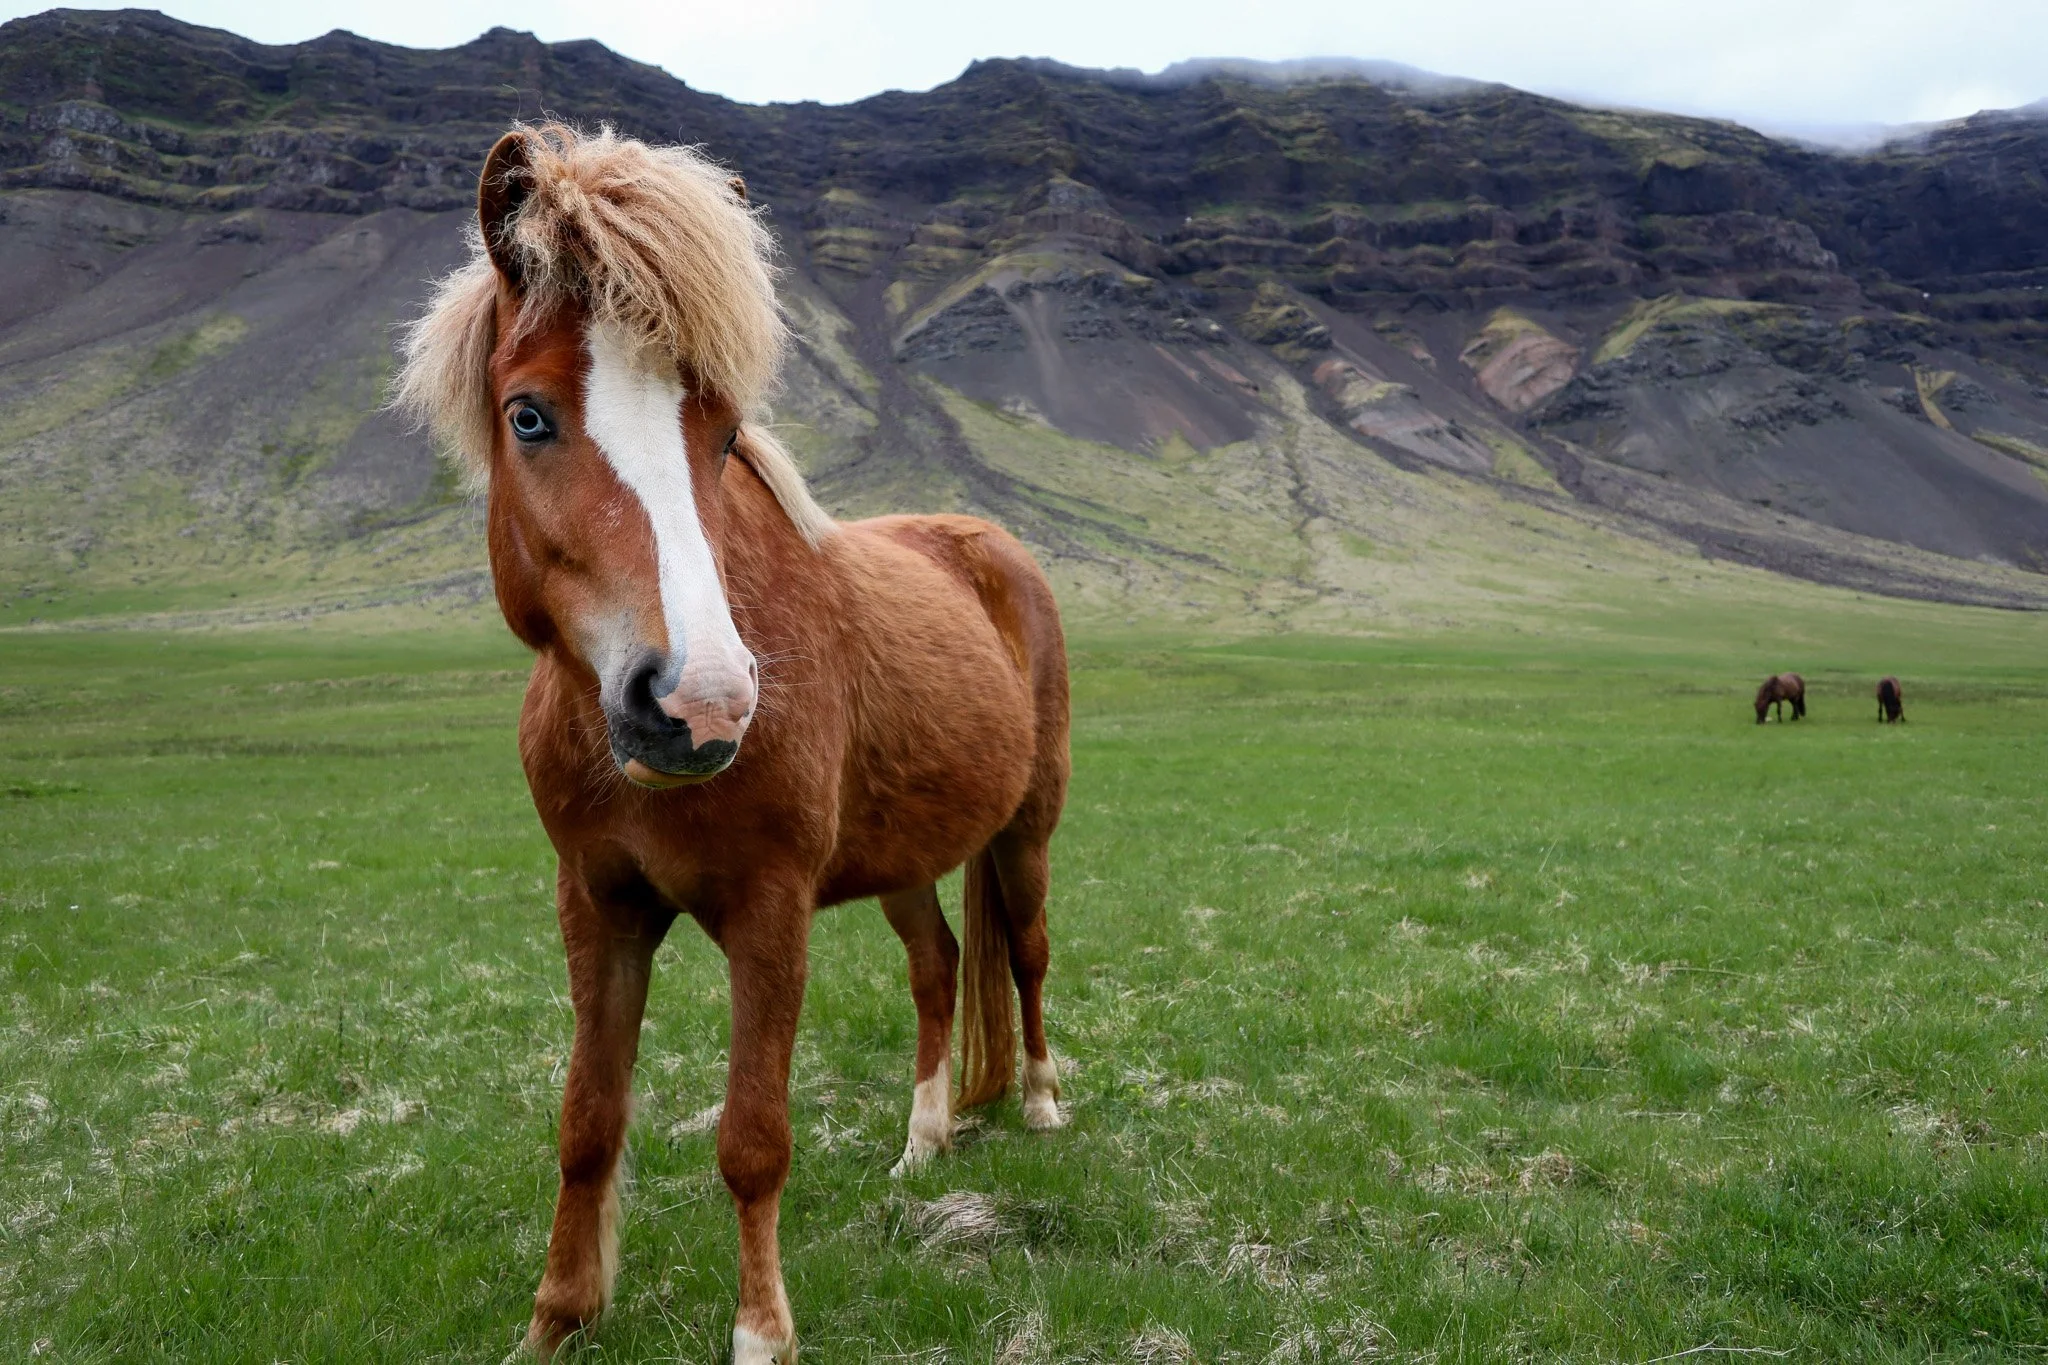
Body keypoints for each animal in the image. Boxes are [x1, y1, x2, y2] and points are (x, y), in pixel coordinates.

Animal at [395, 124, 1070, 1363]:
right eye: (527, 415)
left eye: (720, 434)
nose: (701, 703)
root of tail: (989, 543)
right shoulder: (596, 904)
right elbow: (587, 1119)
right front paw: (557, 1318)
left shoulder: (770, 910)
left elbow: (753, 1139)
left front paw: (760, 1335)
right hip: (901, 859)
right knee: (939, 966)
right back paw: (923, 1143)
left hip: (1027, 828)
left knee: (1029, 953)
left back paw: (1043, 1100)